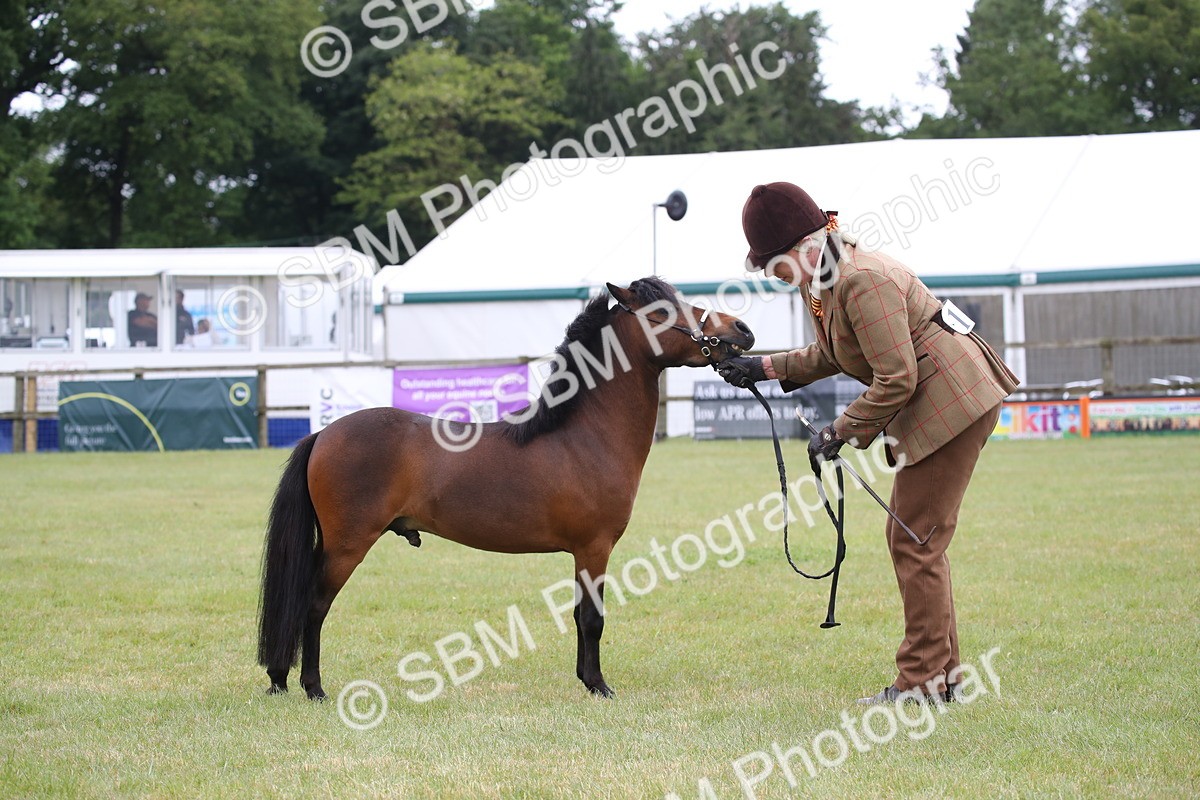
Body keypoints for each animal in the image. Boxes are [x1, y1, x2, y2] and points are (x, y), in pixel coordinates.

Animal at [257, 277, 755, 700]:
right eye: (662, 310)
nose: (742, 329)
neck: (584, 435)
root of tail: (323, 433)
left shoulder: (583, 553)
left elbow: (578, 616)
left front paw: (585, 679)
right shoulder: (594, 548)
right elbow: (592, 618)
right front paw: (598, 685)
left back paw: (280, 679)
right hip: (347, 545)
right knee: (313, 606)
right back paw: (313, 688)